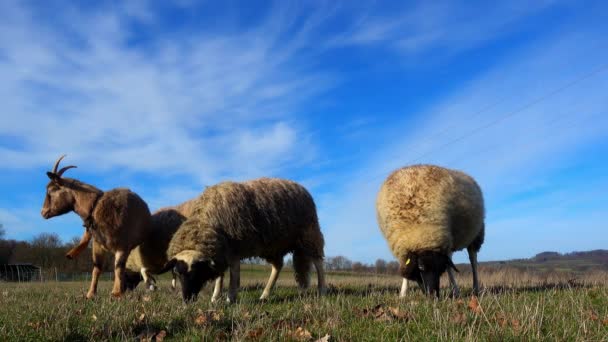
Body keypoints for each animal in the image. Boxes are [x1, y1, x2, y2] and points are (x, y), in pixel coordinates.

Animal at [41, 155, 152, 296]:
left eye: (51, 190)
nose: (43, 212)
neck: (96, 206)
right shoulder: (97, 244)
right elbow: (97, 268)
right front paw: (90, 294)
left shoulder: (123, 246)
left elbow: (118, 267)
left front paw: (116, 293)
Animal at [160, 178, 324, 304]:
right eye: (177, 273)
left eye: (196, 272)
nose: (186, 300)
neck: (206, 221)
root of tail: (301, 187)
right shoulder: (220, 251)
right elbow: (220, 277)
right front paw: (215, 298)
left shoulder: (233, 250)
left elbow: (234, 277)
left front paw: (230, 299)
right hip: (273, 246)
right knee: (278, 266)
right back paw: (264, 295)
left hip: (310, 235)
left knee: (318, 263)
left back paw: (322, 290)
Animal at [376, 165, 484, 296]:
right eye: (421, 267)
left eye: (440, 270)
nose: (433, 295)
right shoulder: (403, 245)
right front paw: (403, 294)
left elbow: (449, 267)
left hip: (476, 235)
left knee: (473, 261)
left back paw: (473, 289)